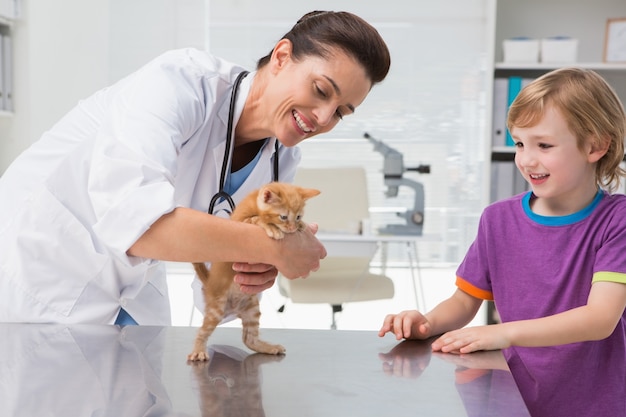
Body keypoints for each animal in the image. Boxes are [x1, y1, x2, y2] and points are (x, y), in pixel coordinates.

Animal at [188, 182, 320, 360]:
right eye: (283, 217)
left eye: (298, 216)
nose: (292, 227)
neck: (255, 204)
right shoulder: (238, 222)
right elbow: (255, 218)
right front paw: (271, 227)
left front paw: (302, 225)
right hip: (216, 308)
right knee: (202, 331)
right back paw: (198, 350)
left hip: (252, 308)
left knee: (249, 339)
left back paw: (269, 348)